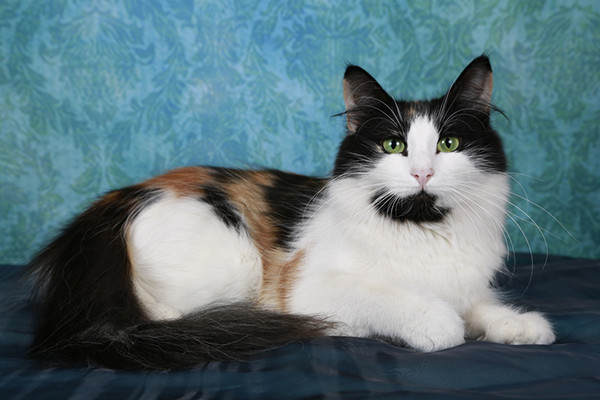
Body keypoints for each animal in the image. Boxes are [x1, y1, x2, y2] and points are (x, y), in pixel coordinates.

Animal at [27, 54, 552, 370]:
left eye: (448, 144)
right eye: (393, 146)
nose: (422, 173)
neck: (422, 232)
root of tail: (113, 202)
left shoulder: (469, 284)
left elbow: (482, 307)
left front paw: (521, 325)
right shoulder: (312, 289)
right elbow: (423, 312)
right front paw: (438, 327)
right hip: (232, 261)